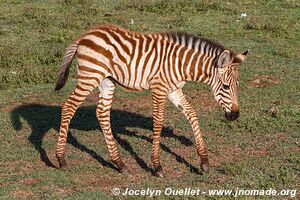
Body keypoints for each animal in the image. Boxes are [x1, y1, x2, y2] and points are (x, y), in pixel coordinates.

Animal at [54, 24, 248, 177]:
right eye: (225, 87)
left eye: (237, 85)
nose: (235, 115)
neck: (181, 64)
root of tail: (85, 35)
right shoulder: (159, 89)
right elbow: (158, 122)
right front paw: (157, 166)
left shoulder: (174, 90)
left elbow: (192, 113)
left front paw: (204, 161)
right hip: (90, 76)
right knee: (69, 106)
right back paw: (61, 159)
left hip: (106, 80)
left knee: (102, 113)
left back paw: (119, 163)